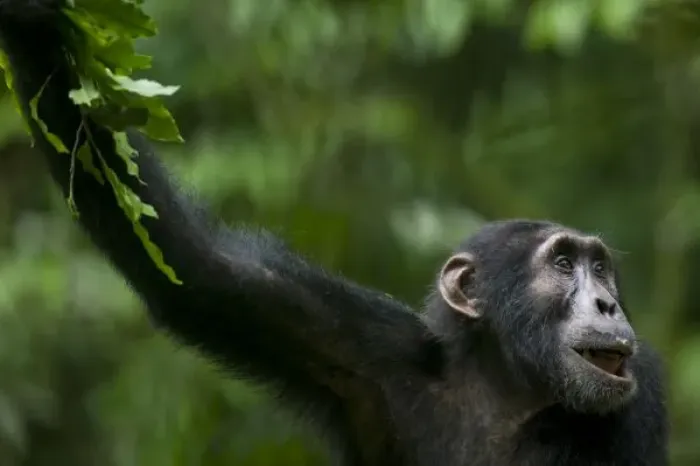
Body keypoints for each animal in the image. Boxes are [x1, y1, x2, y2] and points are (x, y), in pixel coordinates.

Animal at [0, 1, 667, 465]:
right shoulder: (360, 348)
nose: (606, 301)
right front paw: (37, 23)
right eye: (563, 265)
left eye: (600, 268)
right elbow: (201, 271)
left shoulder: (642, 394)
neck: (502, 385)